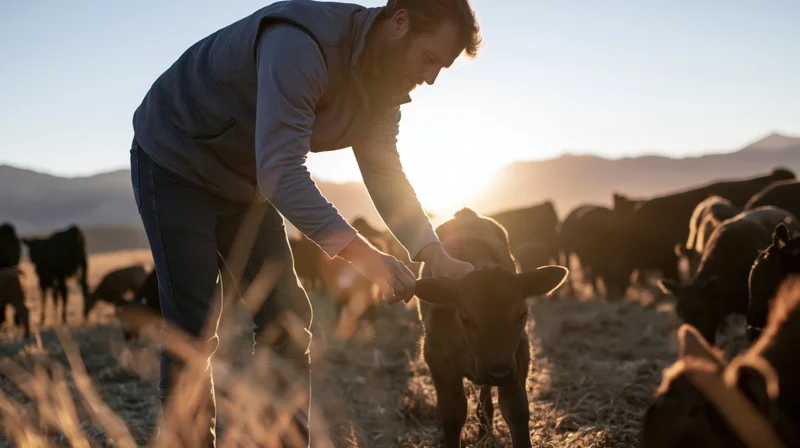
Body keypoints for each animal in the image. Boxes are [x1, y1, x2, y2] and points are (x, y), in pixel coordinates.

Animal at [414, 207, 568, 447]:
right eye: (466, 320)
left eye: (521, 316)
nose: (499, 373)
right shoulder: (437, 357)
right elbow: (452, 414)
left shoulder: (519, 355)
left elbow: (516, 411)